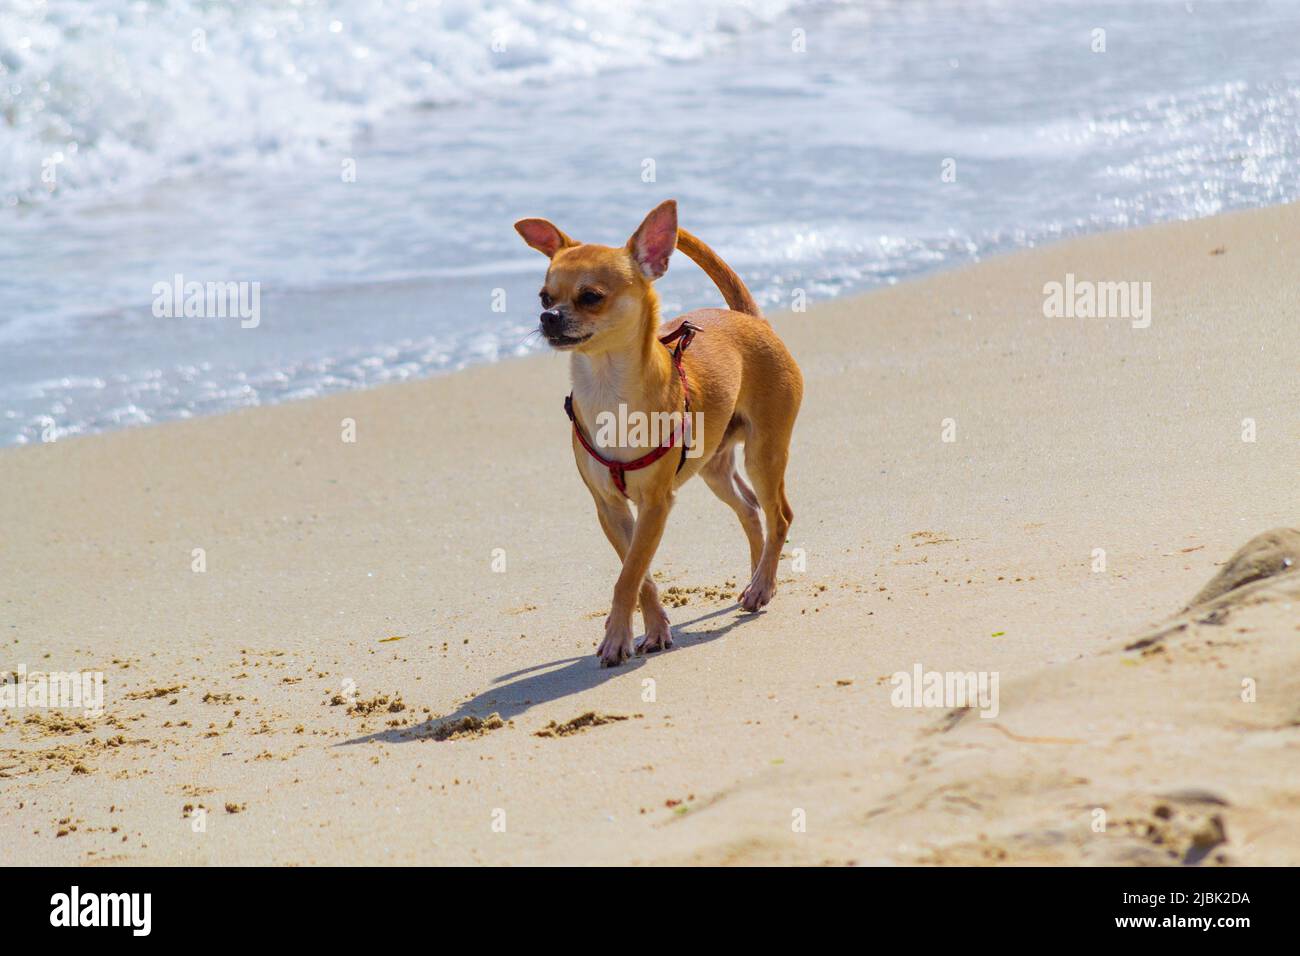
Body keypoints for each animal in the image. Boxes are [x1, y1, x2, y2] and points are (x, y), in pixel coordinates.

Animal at [509, 201, 795, 665]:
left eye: (591, 297)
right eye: (544, 297)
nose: (547, 317)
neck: (606, 386)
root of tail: (750, 319)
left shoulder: (656, 504)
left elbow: (629, 574)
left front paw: (617, 638)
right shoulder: (609, 507)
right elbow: (637, 570)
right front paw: (650, 630)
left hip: (764, 454)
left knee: (779, 515)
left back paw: (764, 585)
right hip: (714, 469)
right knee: (752, 512)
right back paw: (755, 579)